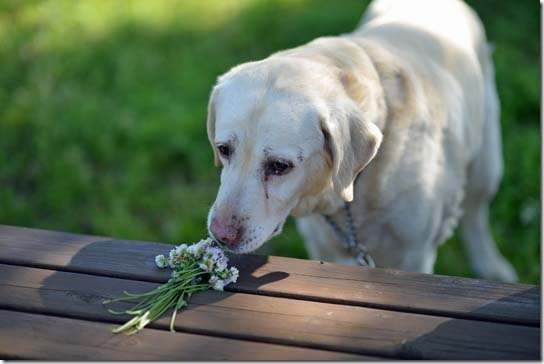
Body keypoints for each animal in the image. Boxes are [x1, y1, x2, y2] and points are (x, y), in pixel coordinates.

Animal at [206, 0, 516, 282]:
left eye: (280, 166)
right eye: (223, 150)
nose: (221, 235)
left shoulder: (415, 255)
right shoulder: (323, 246)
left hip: (486, 163)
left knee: (475, 215)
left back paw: (491, 265)